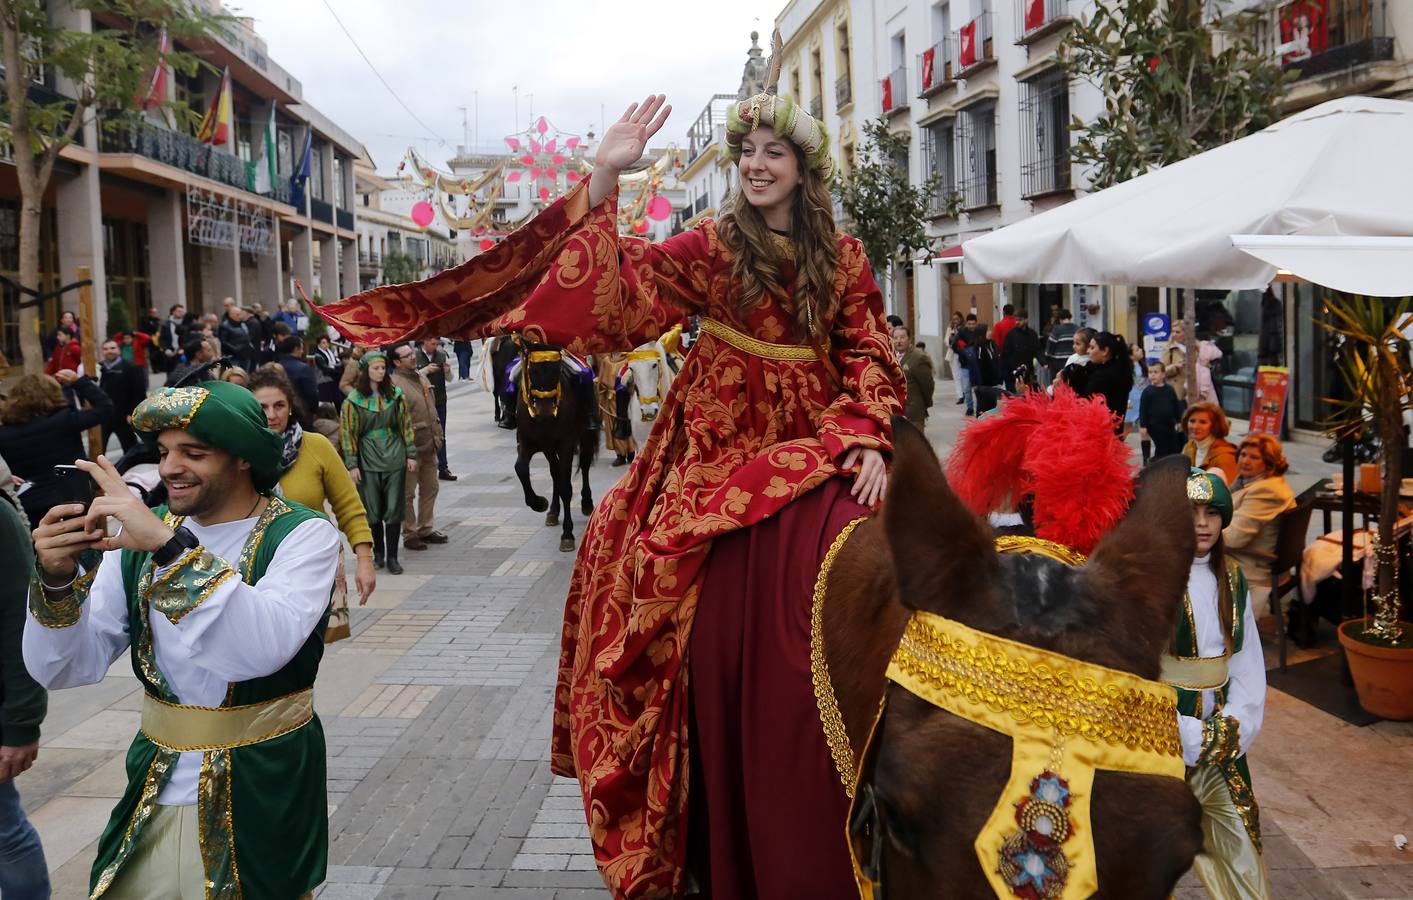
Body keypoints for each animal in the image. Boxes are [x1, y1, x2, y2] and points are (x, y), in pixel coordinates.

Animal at [514, 340, 596, 551]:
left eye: (557, 368)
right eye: (532, 370)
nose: (544, 412)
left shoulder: (566, 444)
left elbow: (566, 487)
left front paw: (567, 534)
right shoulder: (529, 442)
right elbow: (521, 468)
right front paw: (539, 503)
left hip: (585, 436)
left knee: (584, 465)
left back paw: (586, 502)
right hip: (549, 449)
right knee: (555, 473)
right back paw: (553, 511)